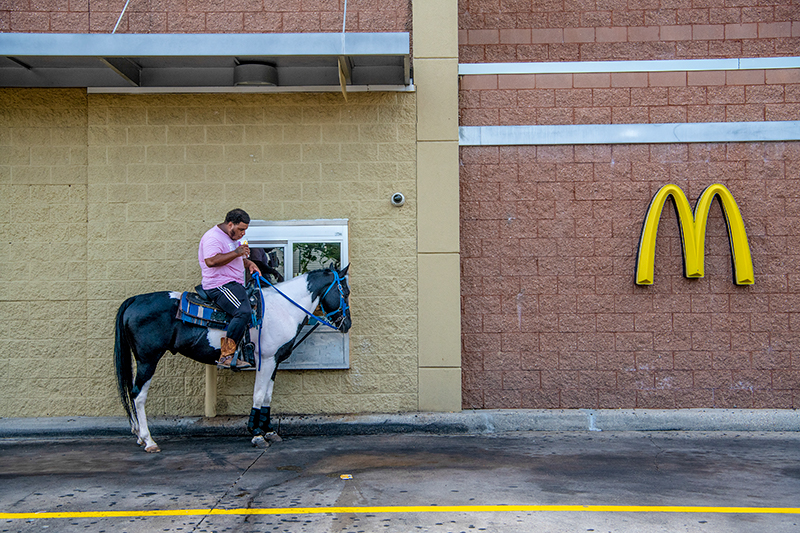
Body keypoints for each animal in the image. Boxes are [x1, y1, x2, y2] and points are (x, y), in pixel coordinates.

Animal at [114, 264, 352, 450]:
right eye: (345, 292)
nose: (347, 324)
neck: (284, 308)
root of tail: (134, 300)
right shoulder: (265, 360)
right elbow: (258, 395)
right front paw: (256, 433)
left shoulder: (274, 361)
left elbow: (267, 396)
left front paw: (269, 431)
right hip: (148, 359)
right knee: (138, 395)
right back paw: (148, 440)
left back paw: (139, 436)